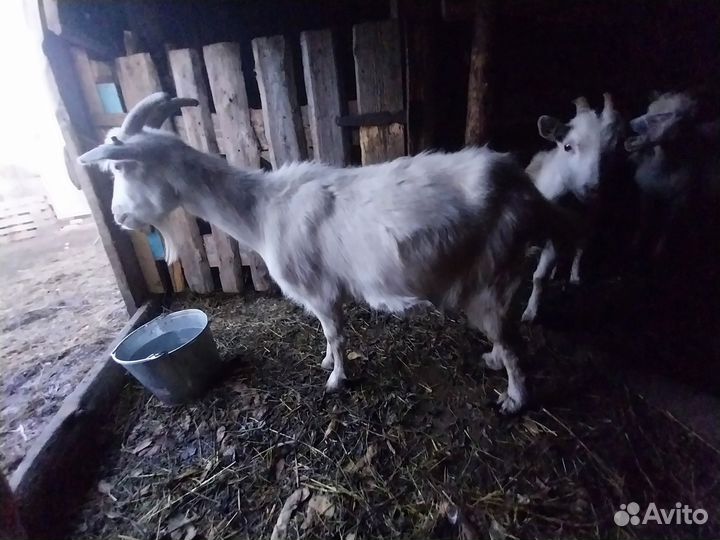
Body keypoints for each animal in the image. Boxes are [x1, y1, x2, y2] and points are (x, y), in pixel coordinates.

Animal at [78, 92, 573, 413]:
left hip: (494, 275)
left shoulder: (320, 290)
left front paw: (336, 379)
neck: (262, 210)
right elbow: (327, 336)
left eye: (120, 168)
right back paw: (491, 361)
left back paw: (514, 399)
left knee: (512, 341)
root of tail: (526, 191)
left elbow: (335, 333)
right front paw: (327, 365)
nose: (119, 216)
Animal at [521, 94, 625, 322]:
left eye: (613, 151)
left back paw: (575, 276)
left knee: (580, 247)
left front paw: (530, 313)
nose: (592, 187)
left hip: (589, 223)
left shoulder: (558, 236)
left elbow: (539, 277)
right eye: (567, 146)